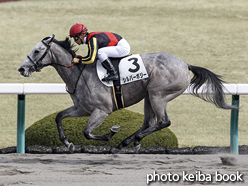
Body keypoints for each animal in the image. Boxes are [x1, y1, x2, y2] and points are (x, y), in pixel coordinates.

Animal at [17, 35, 238, 153]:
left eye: (37, 51)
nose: (22, 69)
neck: (79, 73)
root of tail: (184, 64)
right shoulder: (82, 108)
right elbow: (59, 116)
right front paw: (68, 143)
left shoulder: (102, 110)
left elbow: (87, 132)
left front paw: (110, 133)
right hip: (149, 96)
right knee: (149, 122)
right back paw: (126, 143)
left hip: (158, 94)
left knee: (163, 122)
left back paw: (130, 141)